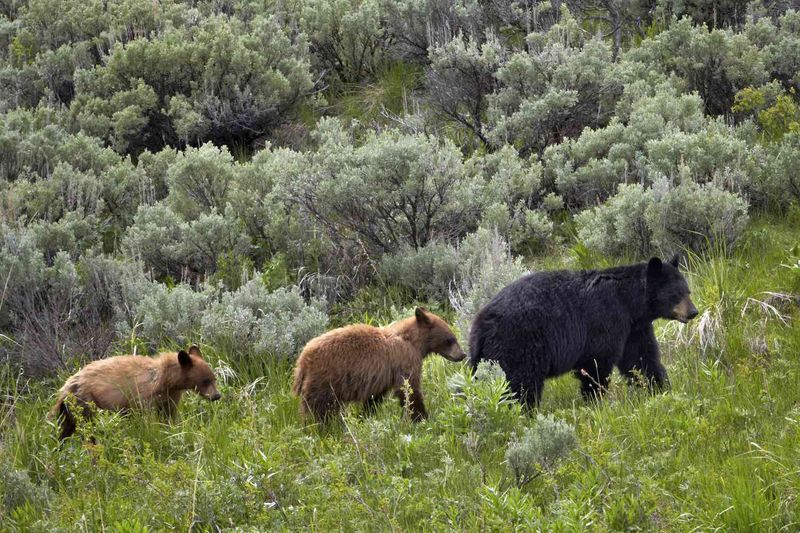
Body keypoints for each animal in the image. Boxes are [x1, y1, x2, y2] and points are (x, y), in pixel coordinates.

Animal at [472, 256, 696, 406]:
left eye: (688, 291)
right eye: (676, 293)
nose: (693, 312)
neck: (630, 303)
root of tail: (481, 324)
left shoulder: (634, 329)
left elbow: (641, 359)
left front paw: (660, 388)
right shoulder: (606, 320)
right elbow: (596, 362)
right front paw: (594, 401)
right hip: (519, 344)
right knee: (519, 383)